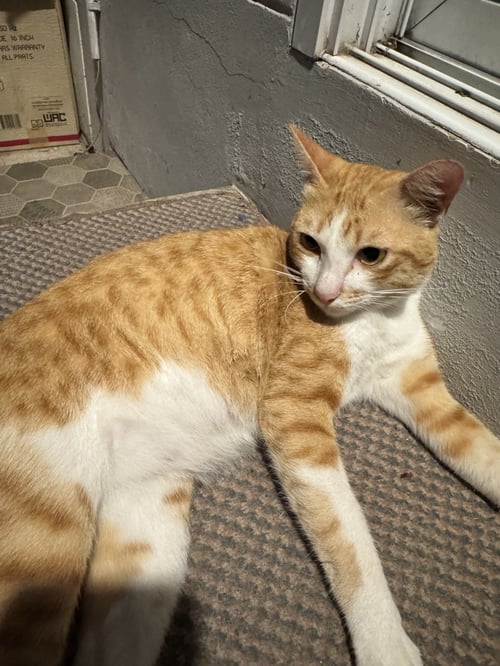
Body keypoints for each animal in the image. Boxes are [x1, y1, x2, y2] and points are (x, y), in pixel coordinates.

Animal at [0, 125, 498, 666]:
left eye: (371, 255)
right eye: (310, 243)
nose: (324, 293)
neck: (374, 320)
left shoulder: (423, 392)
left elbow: (484, 453)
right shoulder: (294, 415)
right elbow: (349, 540)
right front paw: (385, 643)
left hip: (148, 535)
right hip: (47, 540)